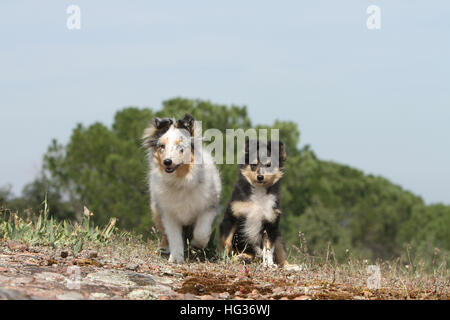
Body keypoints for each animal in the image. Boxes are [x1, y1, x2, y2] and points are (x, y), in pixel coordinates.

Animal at [142, 114, 221, 264]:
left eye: (180, 146)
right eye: (162, 146)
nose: (167, 162)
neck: (181, 181)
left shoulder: (208, 207)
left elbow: (201, 232)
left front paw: (196, 244)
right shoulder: (169, 213)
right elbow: (174, 237)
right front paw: (176, 258)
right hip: (156, 212)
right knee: (165, 234)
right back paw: (163, 248)